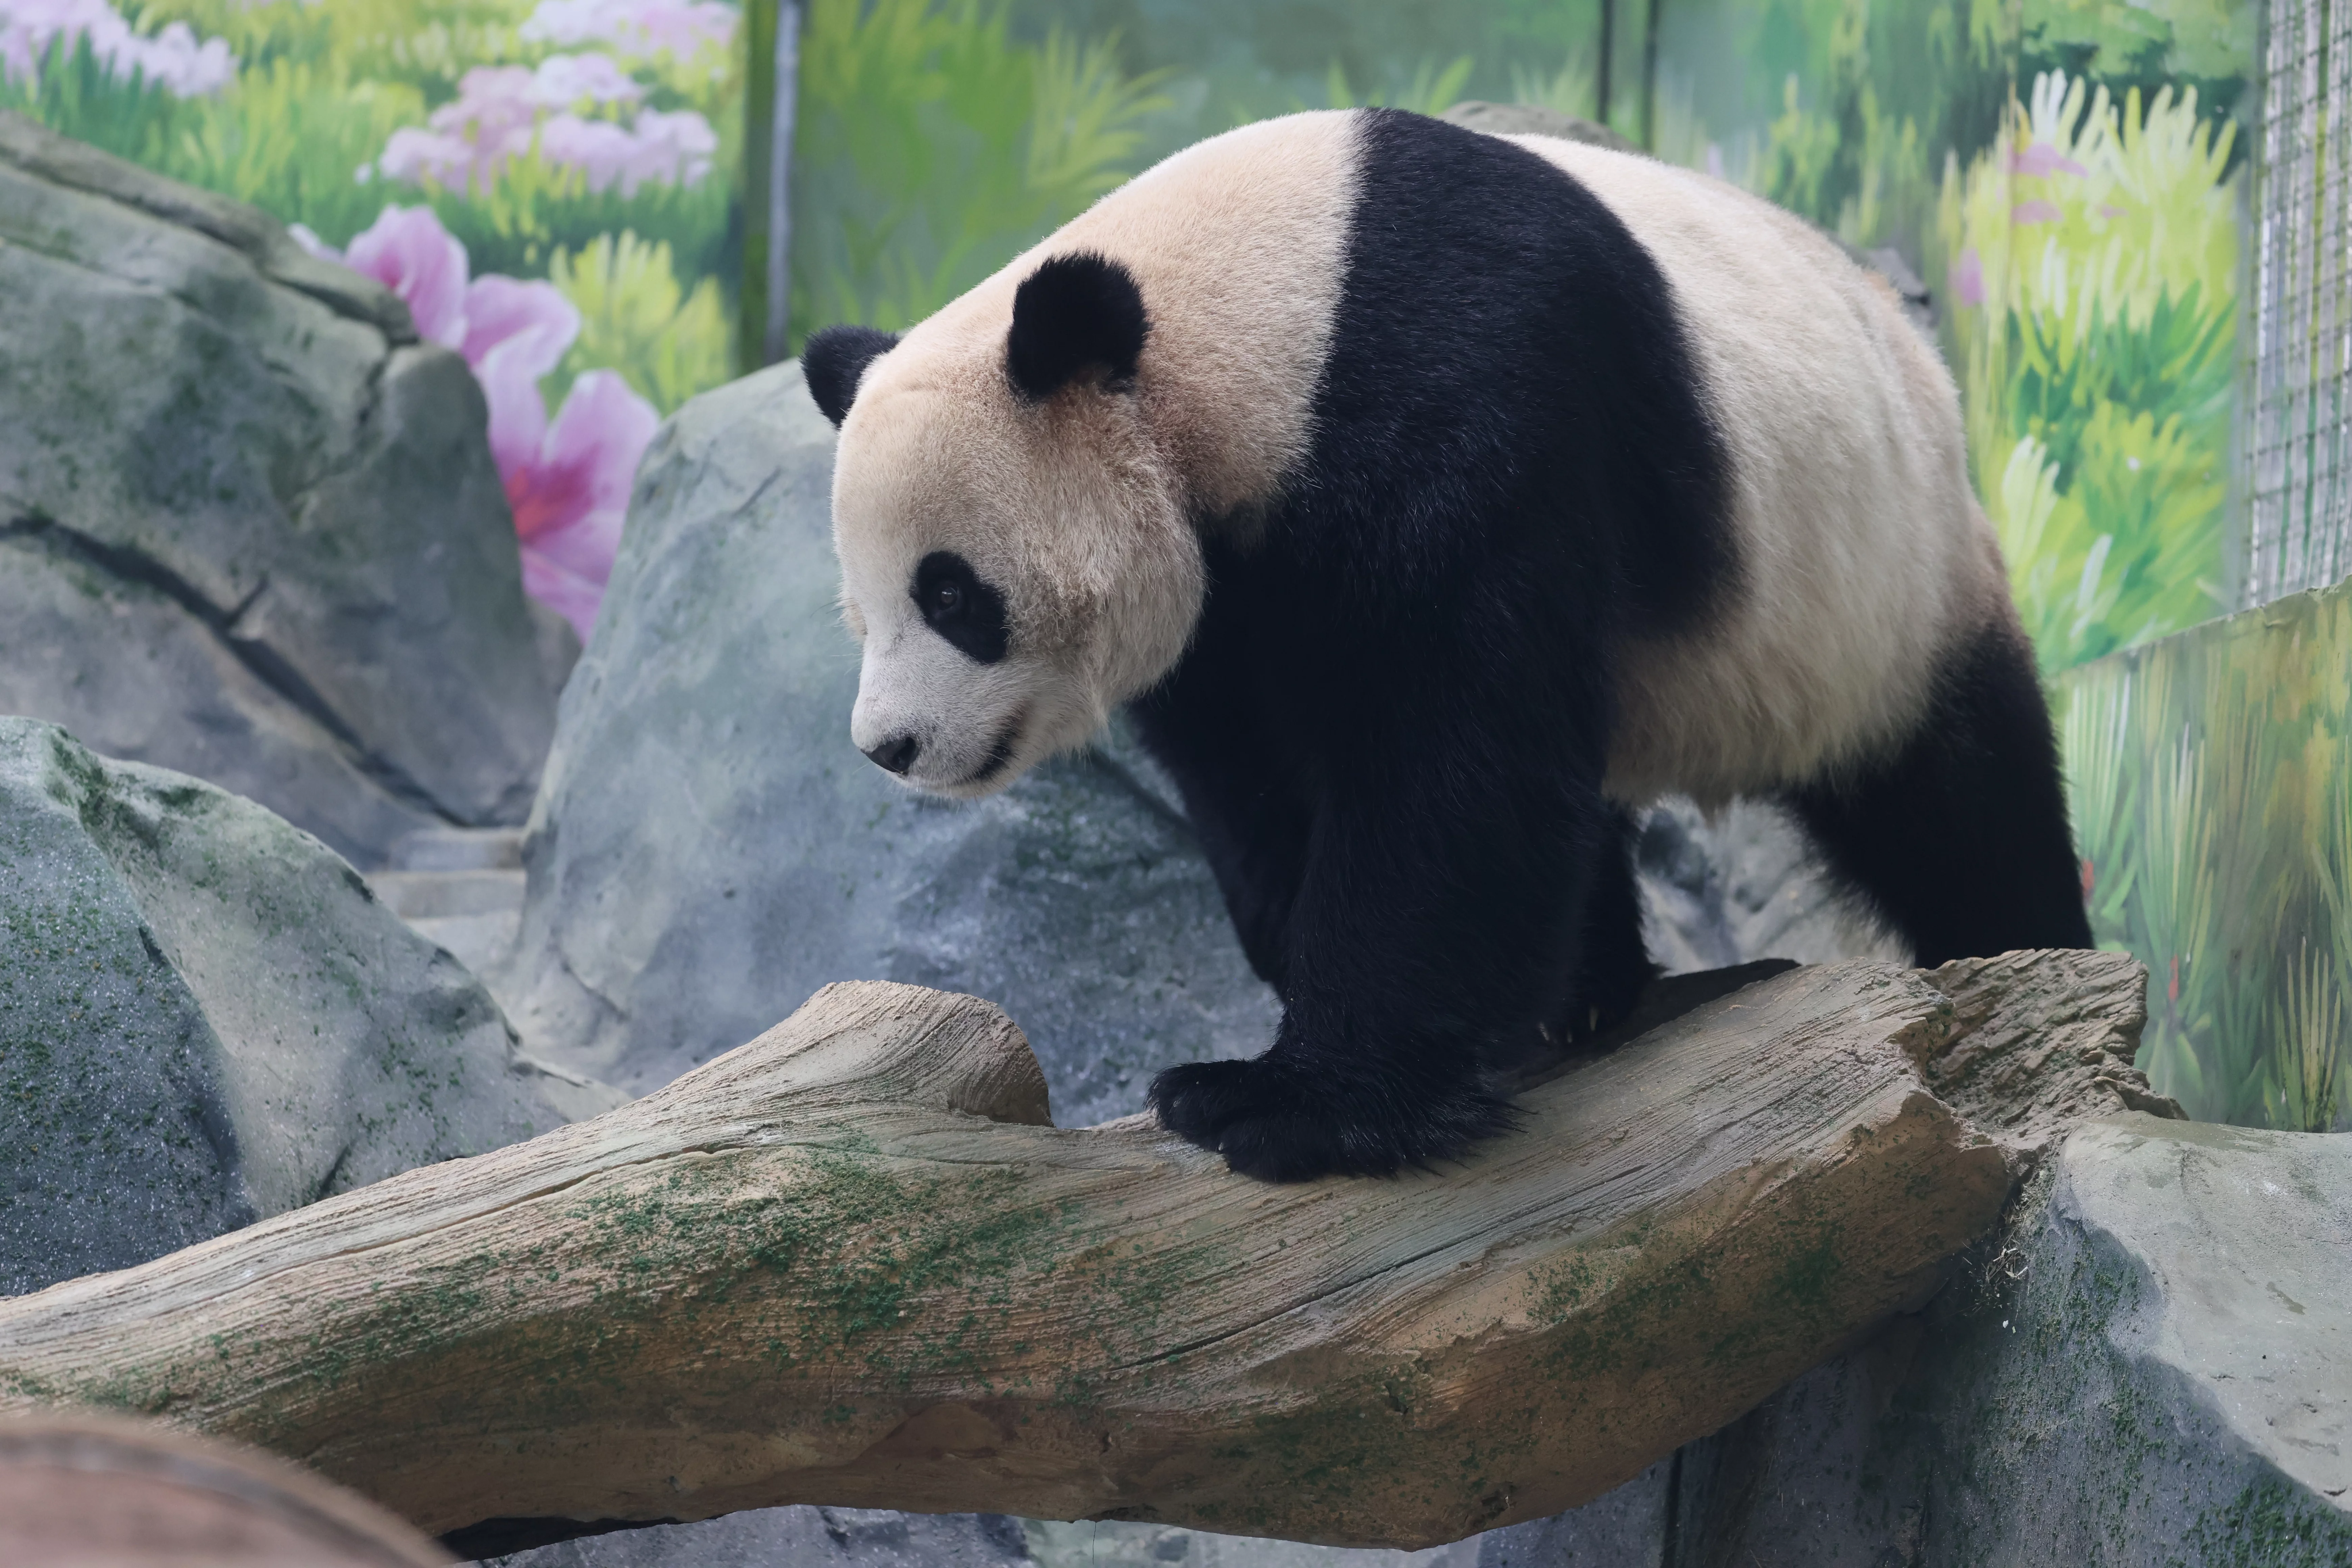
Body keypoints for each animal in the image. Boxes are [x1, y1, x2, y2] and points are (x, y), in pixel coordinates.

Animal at [800, 107, 2091, 1183]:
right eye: (863, 613)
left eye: (954, 594)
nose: (889, 746)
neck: (1282, 300)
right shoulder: (1238, 591)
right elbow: (1267, 769)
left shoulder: (1470, 400)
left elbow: (1449, 762)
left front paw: (1290, 1104)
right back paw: (1588, 987)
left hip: (1888, 592)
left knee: (1964, 807)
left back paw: (2034, 962)